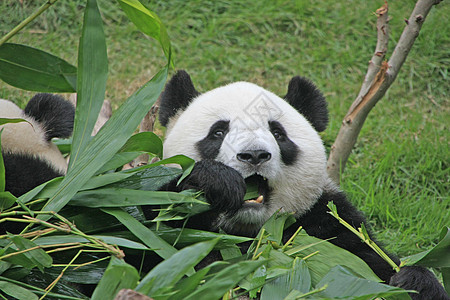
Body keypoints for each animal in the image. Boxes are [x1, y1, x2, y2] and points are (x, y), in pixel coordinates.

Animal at [146, 70, 448, 300]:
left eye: (278, 133)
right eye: (218, 132)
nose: (254, 155)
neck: (251, 232)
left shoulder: (323, 224)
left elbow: (367, 262)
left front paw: (414, 282)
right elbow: (155, 242)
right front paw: (215, 183)